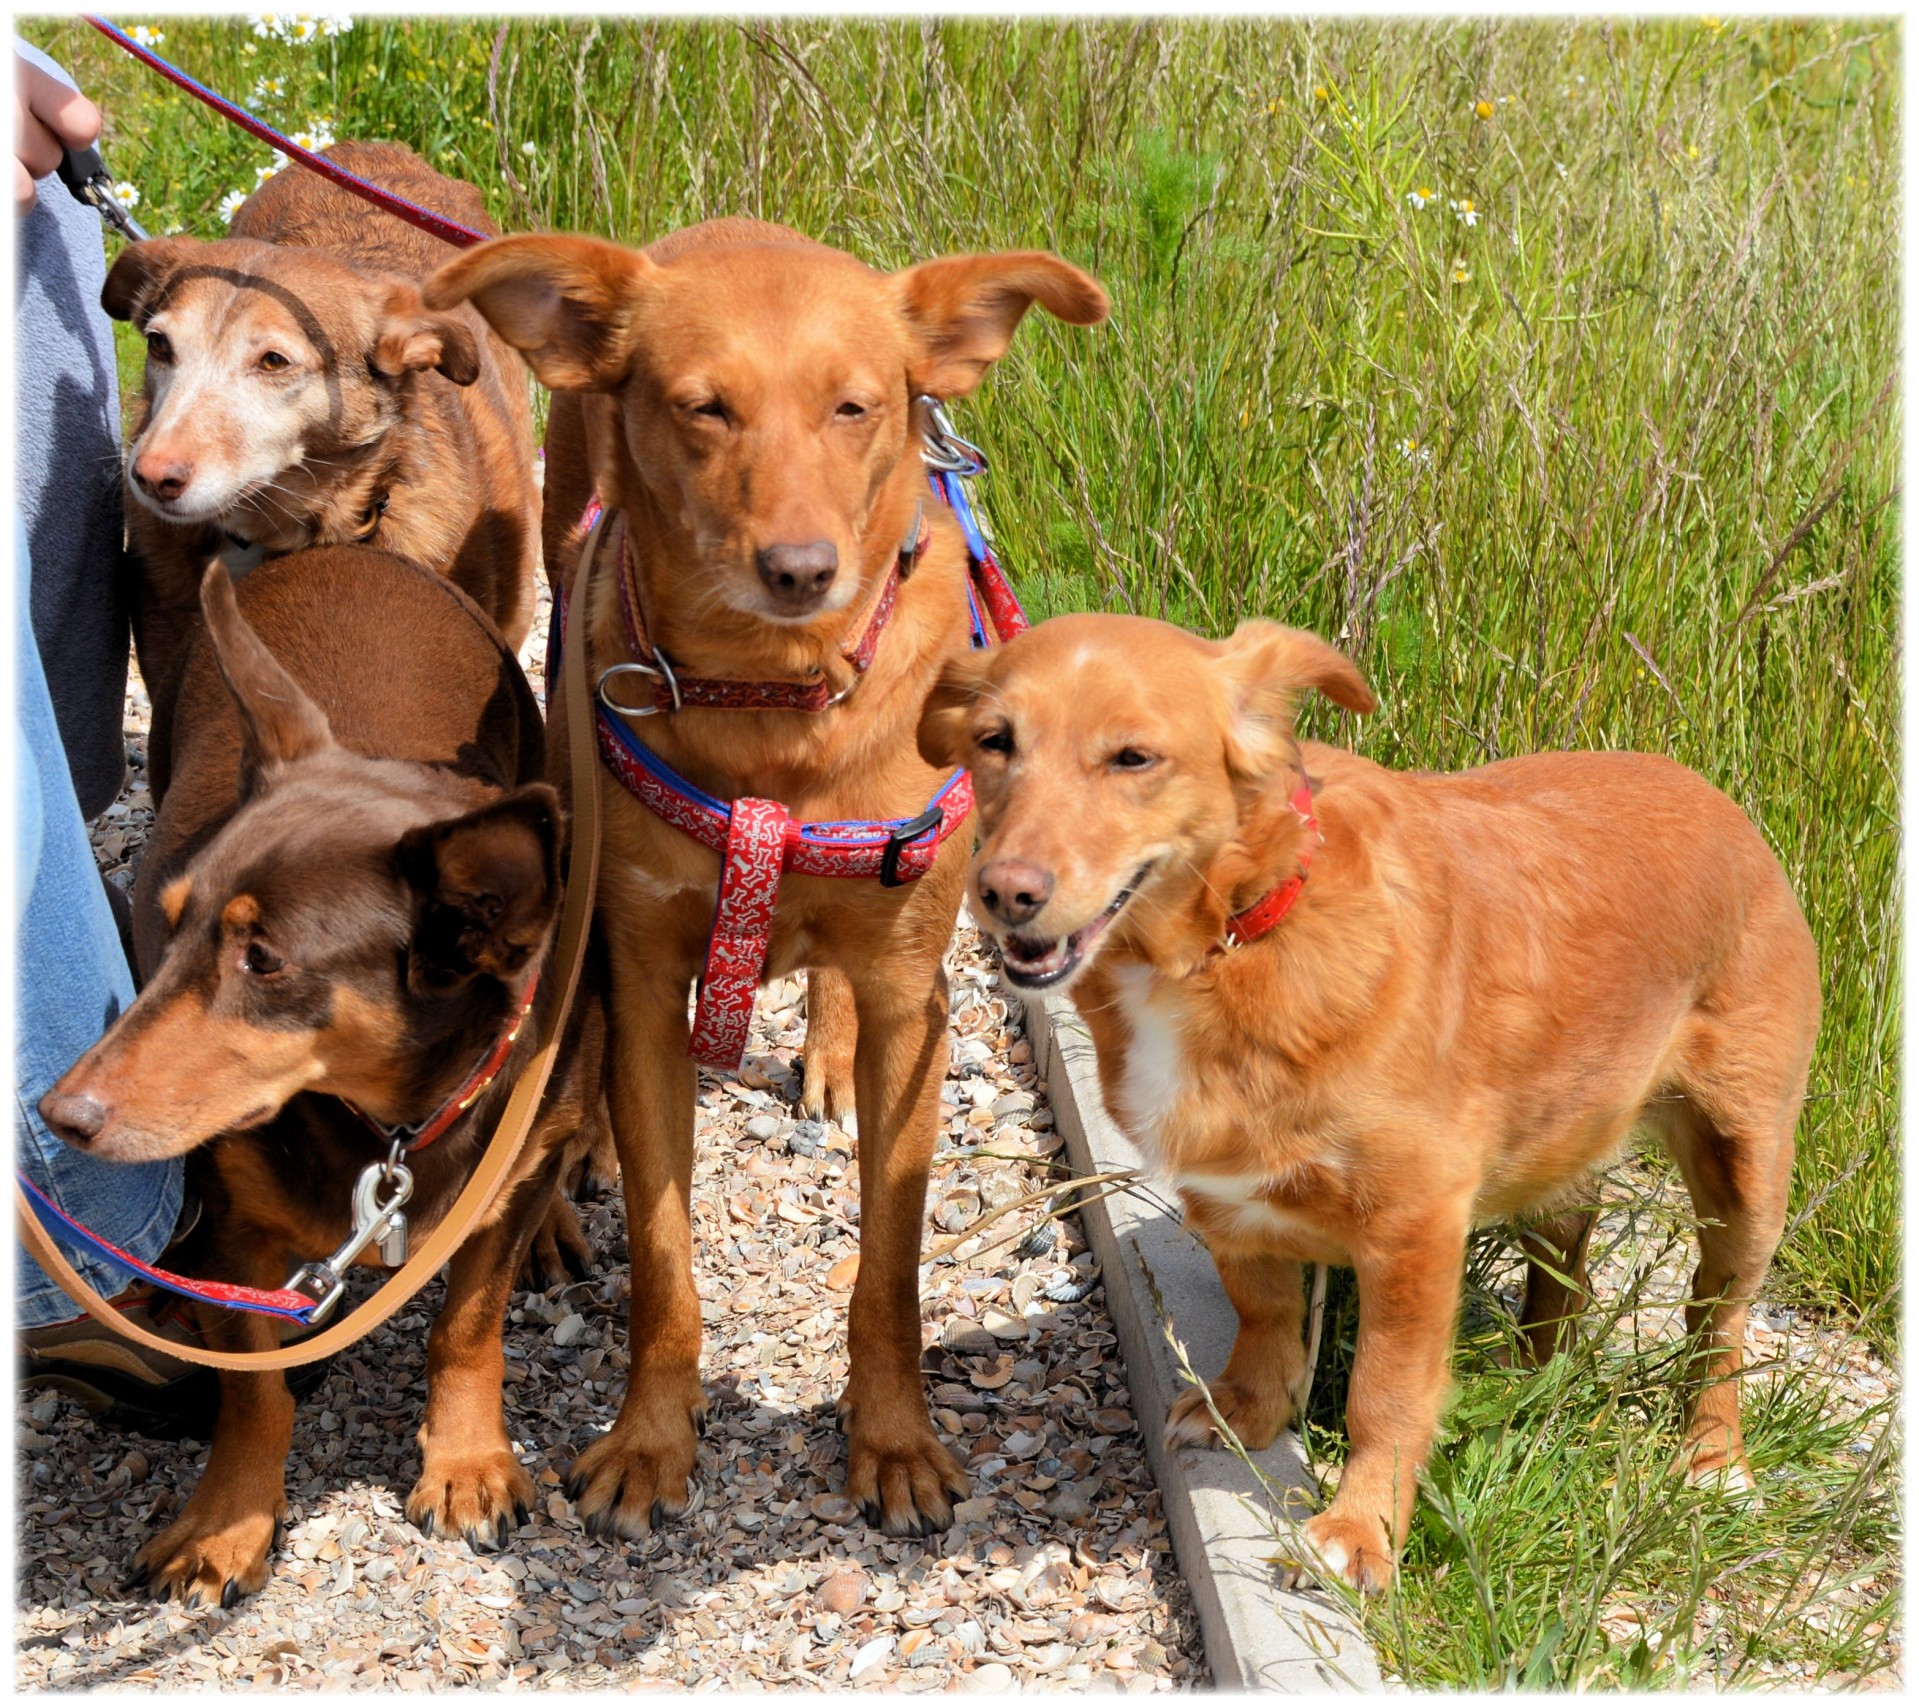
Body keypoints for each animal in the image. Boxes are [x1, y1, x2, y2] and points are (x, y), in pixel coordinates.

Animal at [41, 548, 602, 1596]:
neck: (393, 1120)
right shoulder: (235, 1238)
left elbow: (467, 1327)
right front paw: (226, 1524)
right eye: (170, 919)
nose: (58, 1116)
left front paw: (466, 1463)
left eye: (263, 961)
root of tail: (348, 550)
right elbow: (254, 1392)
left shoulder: (502, 1171)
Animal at [422, 219, 1113, 1535]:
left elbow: (889, 1263)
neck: (773, 702)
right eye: (704, 408)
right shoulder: (646, 985)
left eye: (854, 406)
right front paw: (649, 1440)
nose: (800, 568)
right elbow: (663, 1257)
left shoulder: (912, 1006)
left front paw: (893, 1441)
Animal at [921, 610, 1819, 1581]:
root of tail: (1710, 793)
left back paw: (1711, 1459)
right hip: (1562, 1137)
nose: (1003, 893)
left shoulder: (1413, 1227)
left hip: (1744, 1167)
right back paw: (1529, 1383)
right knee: (1567, 1275)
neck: (1238, 939)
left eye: (1132, 757)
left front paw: (1360, 1532)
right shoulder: (1226, 1192)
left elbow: (1383, 1396)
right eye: (994, 742)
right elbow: (1264, 1313)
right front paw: (1248, 1411)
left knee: (1715, 1314)